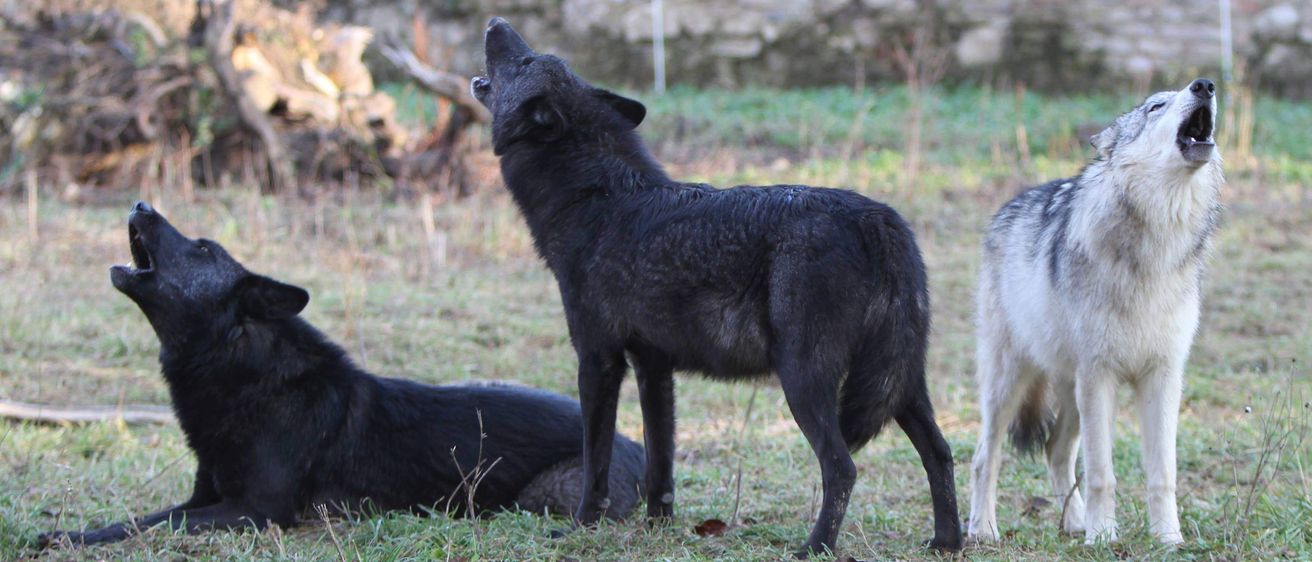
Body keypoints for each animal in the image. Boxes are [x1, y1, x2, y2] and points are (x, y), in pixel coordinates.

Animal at [39, 201, 644, 547]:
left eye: (203, 247)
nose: (140, 202)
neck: (246, 373)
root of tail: (639, 449)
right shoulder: (204, 500)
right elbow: (141, 519)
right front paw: (67, 534)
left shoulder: (256, 512)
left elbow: (157, 525)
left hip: (543, 496)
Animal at [471, 17, 961, 556]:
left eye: (523, 61)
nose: (495, 22)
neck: (596, 199)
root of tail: (878, 219)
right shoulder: (653, 367)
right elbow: (661, 465)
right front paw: (658, 527)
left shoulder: (598, 361)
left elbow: (595, 461)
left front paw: (581, 526)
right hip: (901, 385)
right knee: (941, 453)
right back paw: (948, 541)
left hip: (806, 384)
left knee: (842, 467)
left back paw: (815, 547)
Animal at [967, 79, 1223, 545]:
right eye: (1156, 106)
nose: (1205, 85)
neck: (1154, 247)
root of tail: (1008, 206)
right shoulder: (1100, 375)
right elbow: (1103, 472)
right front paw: (1103, 537)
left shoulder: (1163, 377)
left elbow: (1163, 473)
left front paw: (1168, 539)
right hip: (1011, 382)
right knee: (984, 458)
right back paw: (984, 529)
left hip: (1072, 390)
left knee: (1055, 450)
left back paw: (1074, 521)